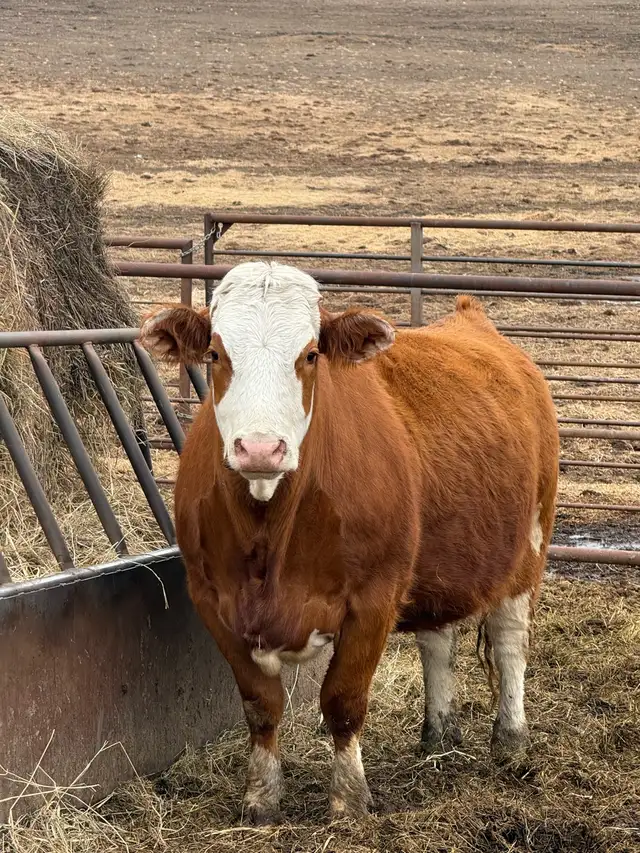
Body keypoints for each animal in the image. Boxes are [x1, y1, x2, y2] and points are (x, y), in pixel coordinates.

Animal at [140, 261, 559, 824]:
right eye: (215, 354)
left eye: (311, 354)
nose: (260, 448)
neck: (270, 531)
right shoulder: (212, 599)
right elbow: (260, 704)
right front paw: (262, 796)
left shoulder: (373, 599)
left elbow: (343, 700)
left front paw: (349, 798)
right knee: (437, 640)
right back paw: (438, 734)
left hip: (530, 544)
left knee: (511, 641)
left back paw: (511, 741)